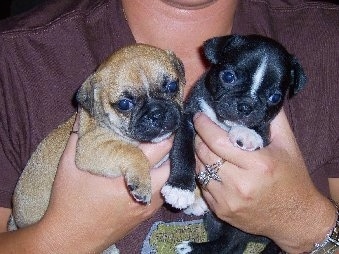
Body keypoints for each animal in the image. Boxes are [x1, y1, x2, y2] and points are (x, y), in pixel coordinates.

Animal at [10, 44, 186, 230]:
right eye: (124, 104)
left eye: (173, 86)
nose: (156, 113)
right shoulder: (91, 147)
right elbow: (132, 152)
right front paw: (142, 183)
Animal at [162, 34, 308, 254]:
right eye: (229, 77)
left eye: (275, 97)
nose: (246, 106)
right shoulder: (188, 119)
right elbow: (182, 151)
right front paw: (180, 188)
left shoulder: (266, 132)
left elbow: (259, 129)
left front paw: (246, 133)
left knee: (230, 244)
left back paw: (192, 248)